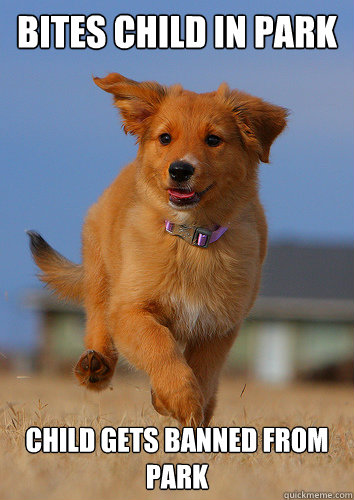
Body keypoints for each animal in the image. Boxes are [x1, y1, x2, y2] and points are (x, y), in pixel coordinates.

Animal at [27, 74, 288, 426]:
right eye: (165, 138)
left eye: (214, 140)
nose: (180, 170)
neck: (190, 238)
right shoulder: (130, 310)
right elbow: (159, 346)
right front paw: (179, 397)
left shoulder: (219, 325)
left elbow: (204, 371)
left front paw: (183, 405)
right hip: (100, 270)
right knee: (97, 317)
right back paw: (94, 366)